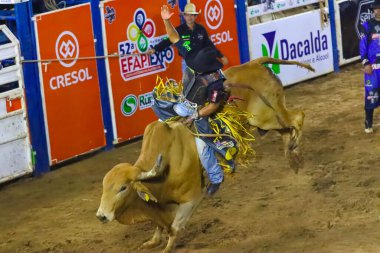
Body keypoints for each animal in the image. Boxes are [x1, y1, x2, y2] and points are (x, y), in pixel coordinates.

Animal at [96, 121, 205, 253]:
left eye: (123, 188)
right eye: (104, 187)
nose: (101, 216)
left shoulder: (192, 199)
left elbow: (174, 228)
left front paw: (167, 248)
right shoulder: (158, 209)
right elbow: (160, 224)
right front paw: (152, 242)